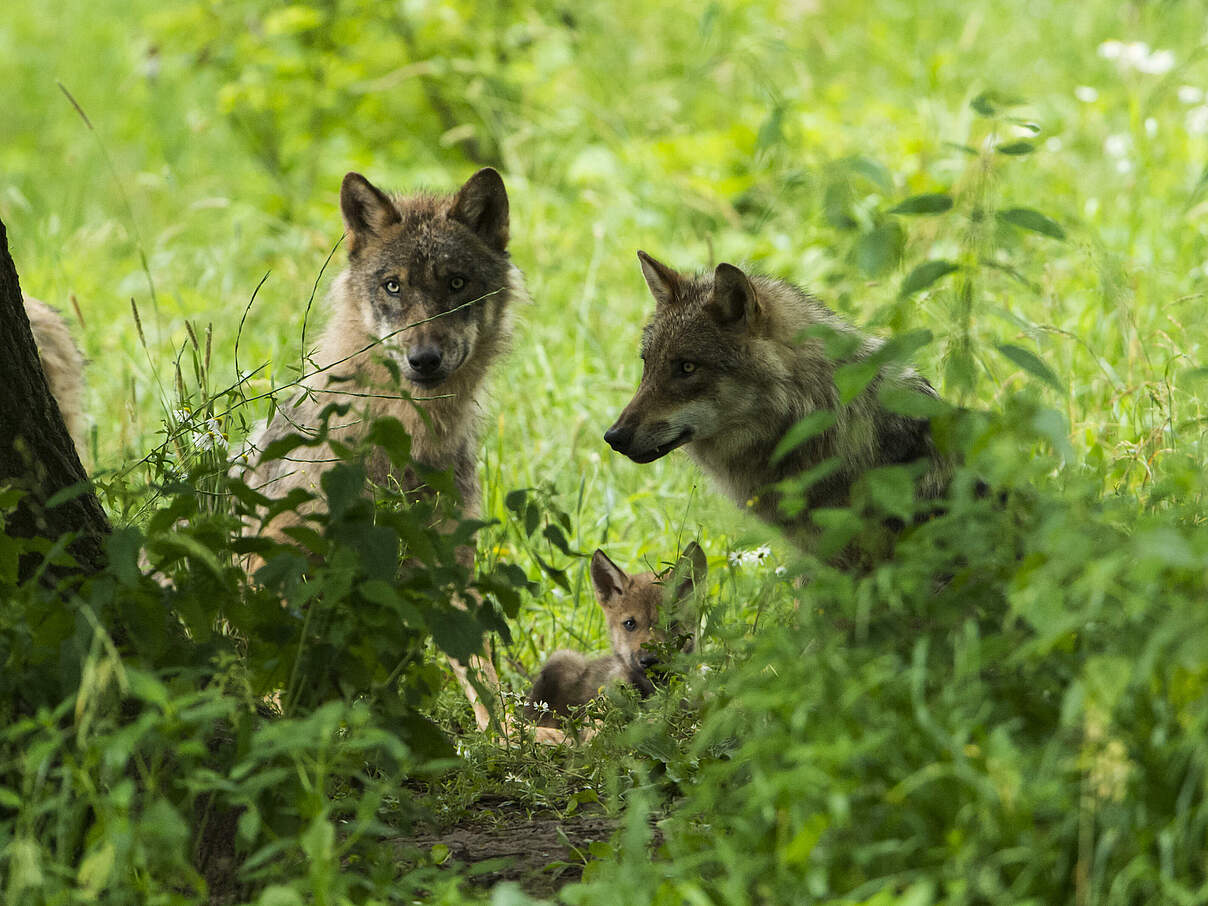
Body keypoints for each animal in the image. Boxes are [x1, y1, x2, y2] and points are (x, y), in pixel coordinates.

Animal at [238, 168, 524, 733]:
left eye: (456, 283)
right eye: (393, 285)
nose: (424, 359)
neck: (405, 440)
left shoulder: (450, 564)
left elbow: (484, 675)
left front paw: (513, 740)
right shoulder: (279, 554)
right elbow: (283, 661)